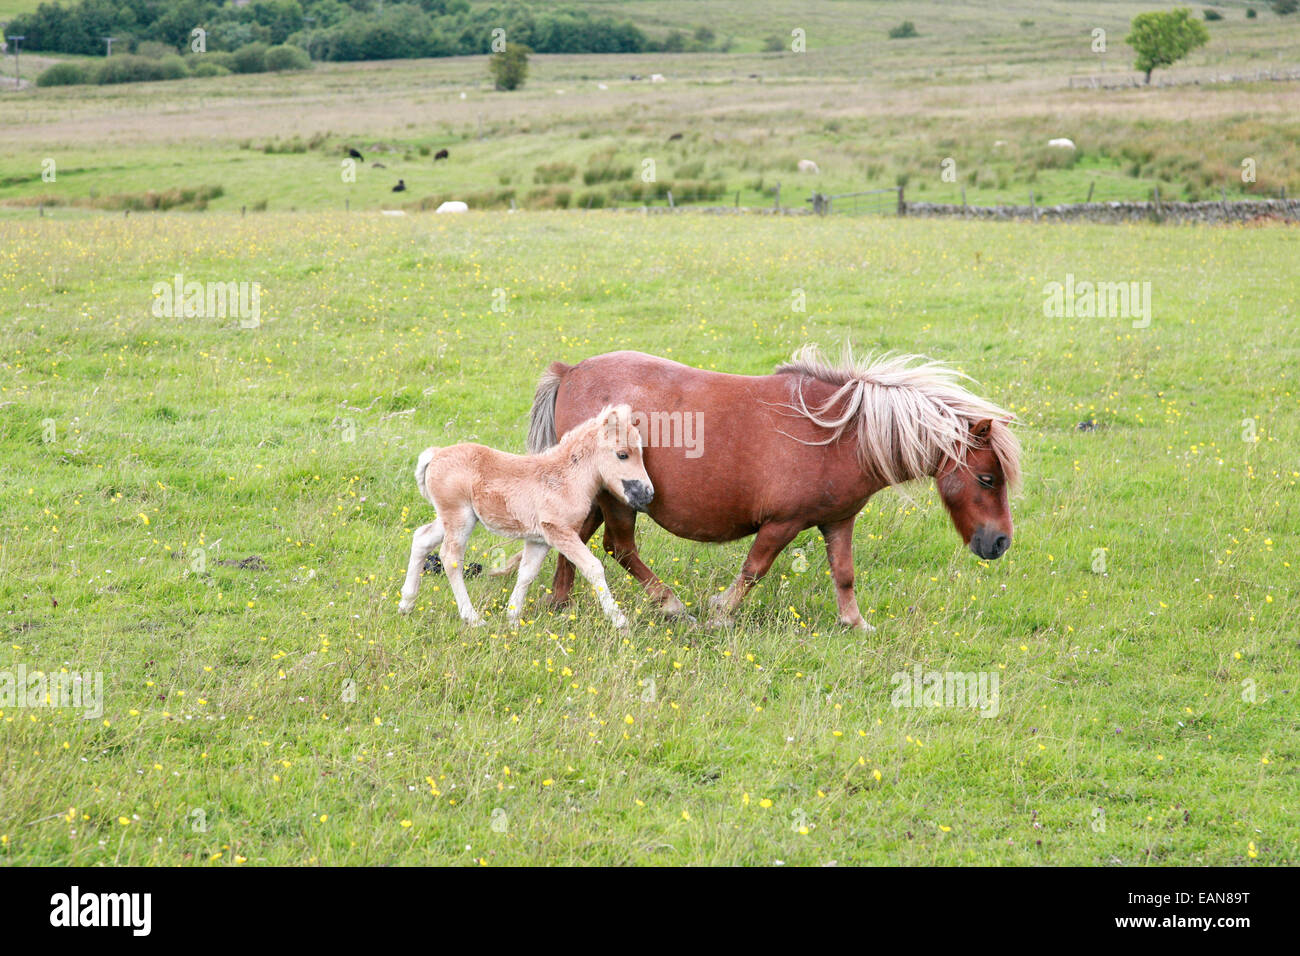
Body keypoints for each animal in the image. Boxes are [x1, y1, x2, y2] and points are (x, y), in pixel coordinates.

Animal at [522, 348, 1019, 632]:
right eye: (987, 478)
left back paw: (560, 602)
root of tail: (571, 371)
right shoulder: (783, 523)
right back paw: (671, 605)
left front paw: (856, 623)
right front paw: (719, 614)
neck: (842, 435)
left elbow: (844, 574)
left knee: (577, 539)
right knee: (619, 547)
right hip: (619, 497)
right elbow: (754, 570)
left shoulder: (838, 520)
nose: (999, 542)